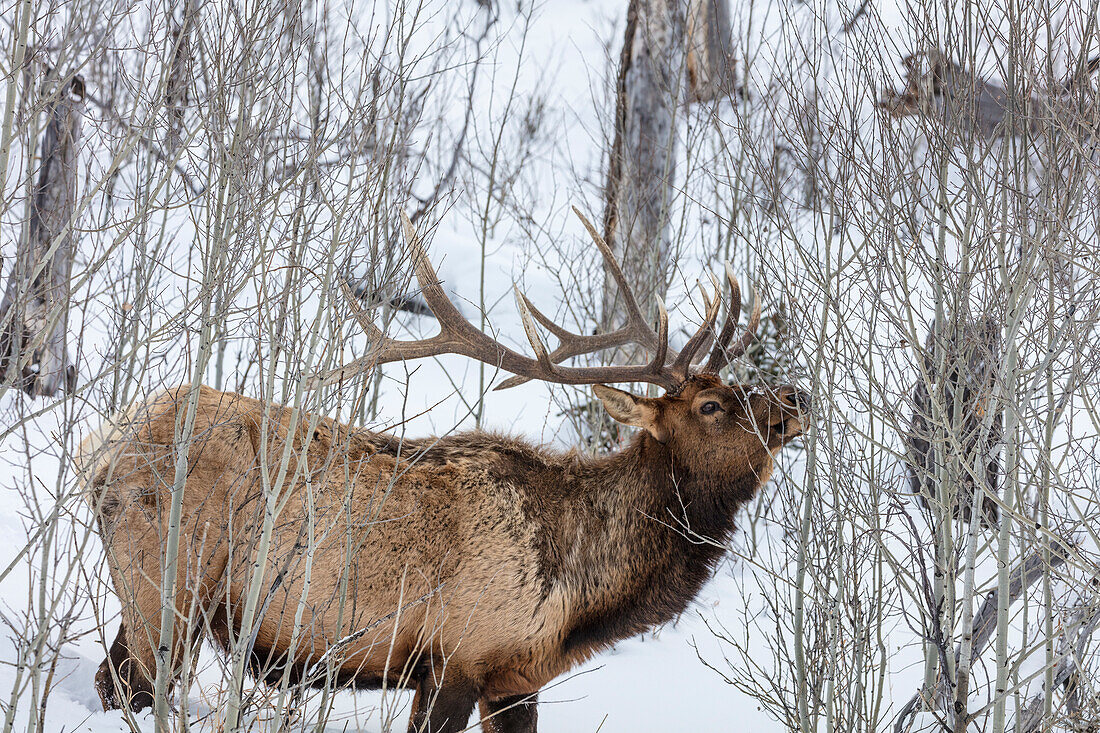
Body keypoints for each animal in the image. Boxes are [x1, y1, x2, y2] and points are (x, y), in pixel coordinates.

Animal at [79, 208, 809, 726]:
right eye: (712, 405)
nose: (796, 398)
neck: (578, 594)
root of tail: (103, 445)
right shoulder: (457, 655)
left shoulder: (514, 678)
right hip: (163, 584)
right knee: (125, 687)